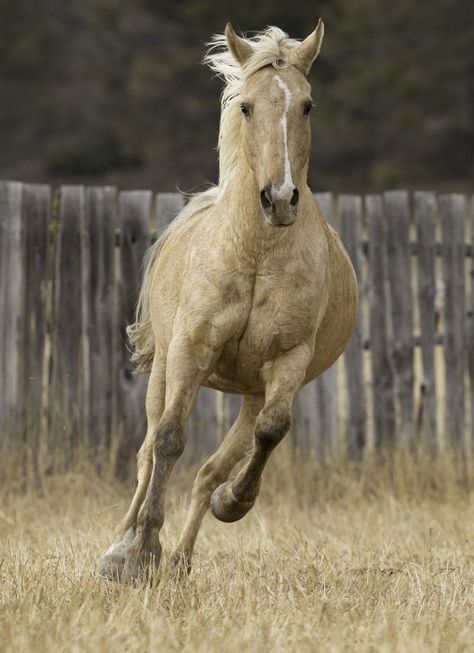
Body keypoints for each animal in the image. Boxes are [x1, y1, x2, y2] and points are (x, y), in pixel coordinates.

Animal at [99, 19, 356, 580]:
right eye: (246, 107)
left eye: (308, 105)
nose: (279, 200)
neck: (256, 254)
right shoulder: (191, 350)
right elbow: (169, 439)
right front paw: (141, 548)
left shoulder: (287, 361)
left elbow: (271, 433)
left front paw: (232, 504)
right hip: (163, 369)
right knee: (147, 451)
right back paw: (119, 550)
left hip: (251, 391)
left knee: (212, 467)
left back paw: (181, 559)